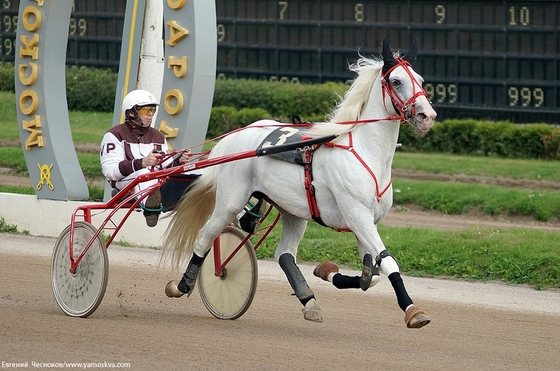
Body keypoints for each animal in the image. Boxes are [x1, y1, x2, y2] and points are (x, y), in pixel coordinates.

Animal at [162, 37, 438, 328]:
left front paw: (327, 271)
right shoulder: (358, 215)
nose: (427, 116)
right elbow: (387, 262)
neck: (365, 152)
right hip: (230, 202)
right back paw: (184, 284)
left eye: (420, 79)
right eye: (396, 81)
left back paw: (309, 301)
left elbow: (370, 276)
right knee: (206, 237)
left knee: (284, 254)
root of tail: (236, 135)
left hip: (293, 210)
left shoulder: (366, 221)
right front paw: (413, 310)